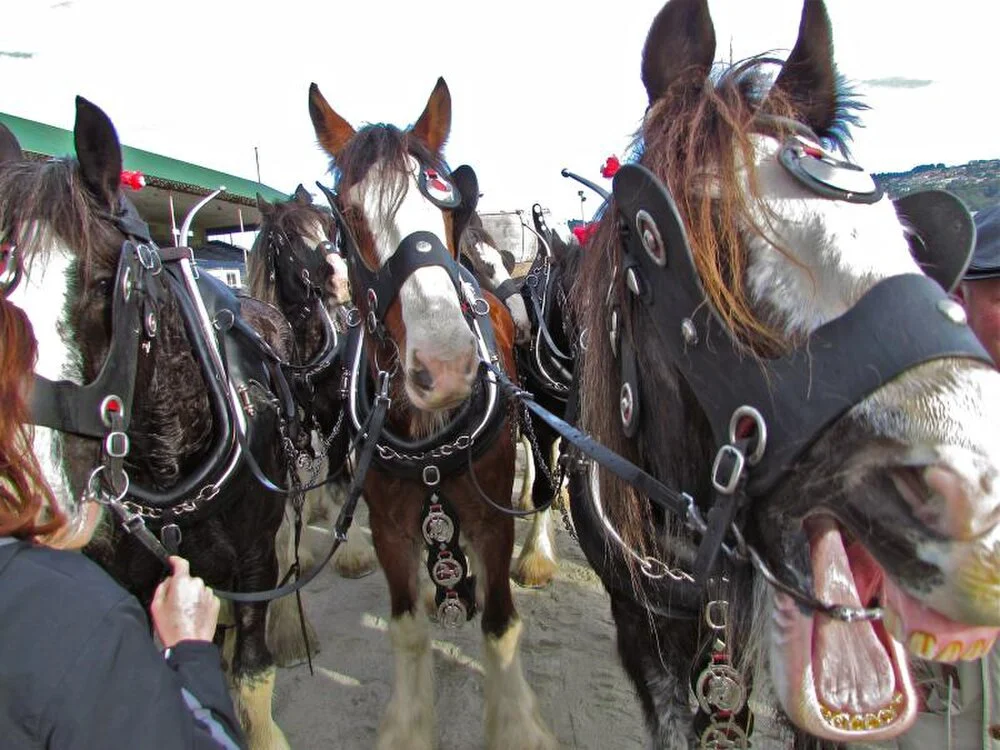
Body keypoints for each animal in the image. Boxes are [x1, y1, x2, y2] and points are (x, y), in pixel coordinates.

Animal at [246, 187, 378, 664]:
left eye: (326, 225)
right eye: (286, 238)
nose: (340, 281)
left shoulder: (335, 415)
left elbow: (340, 478)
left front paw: (354, 553)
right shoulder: (289, 431)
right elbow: (287, 512)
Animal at [306, 78, 556, 750]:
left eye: (444, 206)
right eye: (349, 216)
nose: (445, 368)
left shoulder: (489, 520)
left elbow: (499, 625)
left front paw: (516, 724)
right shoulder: (389, 526)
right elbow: (408, 626)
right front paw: (409, 727)